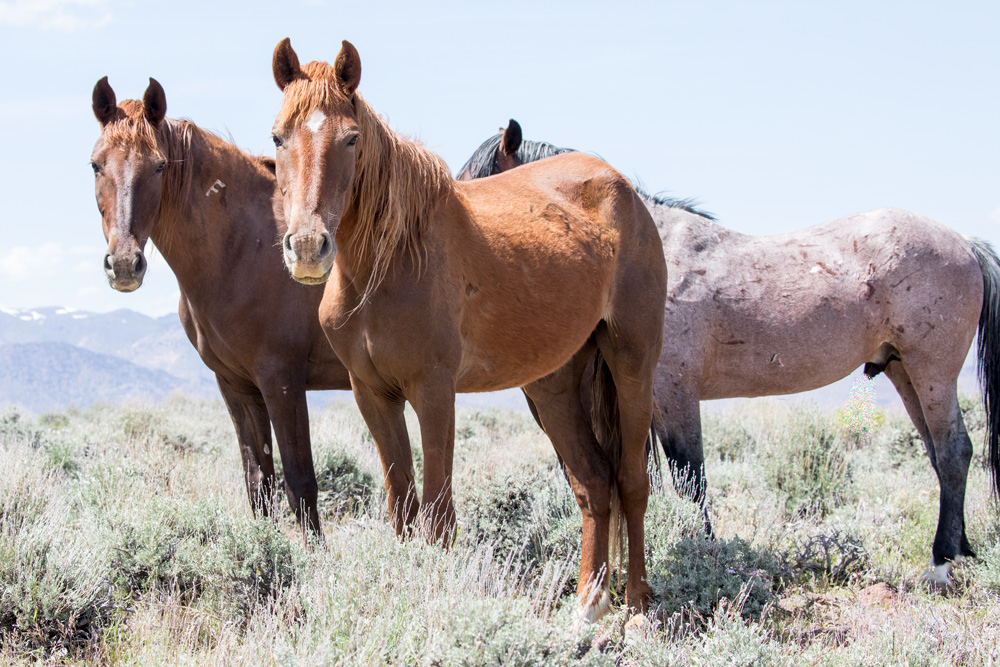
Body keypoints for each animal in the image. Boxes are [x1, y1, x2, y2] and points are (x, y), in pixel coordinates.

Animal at [89, 77, 356, 536]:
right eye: (95, 165)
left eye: (159, 166)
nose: (123, 264)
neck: (245, 247)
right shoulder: (236, 385)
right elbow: (259, 482)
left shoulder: (281, 381)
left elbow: (300, 483)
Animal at [270, 39, 668, 620]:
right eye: (277, 137)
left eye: (351, 138)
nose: (306, 247)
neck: (387, 263)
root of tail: (625, 191)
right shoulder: (373, 395)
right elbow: (403, 507)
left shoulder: (434, 392)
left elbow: (438, 517)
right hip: (551, 385)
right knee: (594, 482)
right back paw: (587, 602)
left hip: (632, 362)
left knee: (632, 481)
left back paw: (636, 603)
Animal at [460, 121, 1000, 584]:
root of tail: (964, 243)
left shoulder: (672, 396)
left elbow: (690, 482)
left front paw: (703, 557)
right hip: (903, 371)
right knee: (940, 455)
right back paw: (959, 549)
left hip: (931, 371)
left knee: (954, 451)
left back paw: (940, 564)